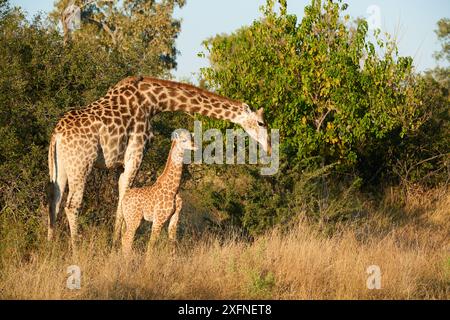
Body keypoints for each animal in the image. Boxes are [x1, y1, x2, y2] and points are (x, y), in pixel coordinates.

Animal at [47, 76, 268, 249]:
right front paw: (116, 244)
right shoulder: (135, 153)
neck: (154, 102)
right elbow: (124, 195)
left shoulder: (122, 162)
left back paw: (51, 247)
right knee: (72, 205)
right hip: (81, 164)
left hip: (61, 167)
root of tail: (57, 135)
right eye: (261, 123)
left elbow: (122, 196)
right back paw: (76, 249)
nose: (269, 147)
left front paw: (116, 240)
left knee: (54, 202)